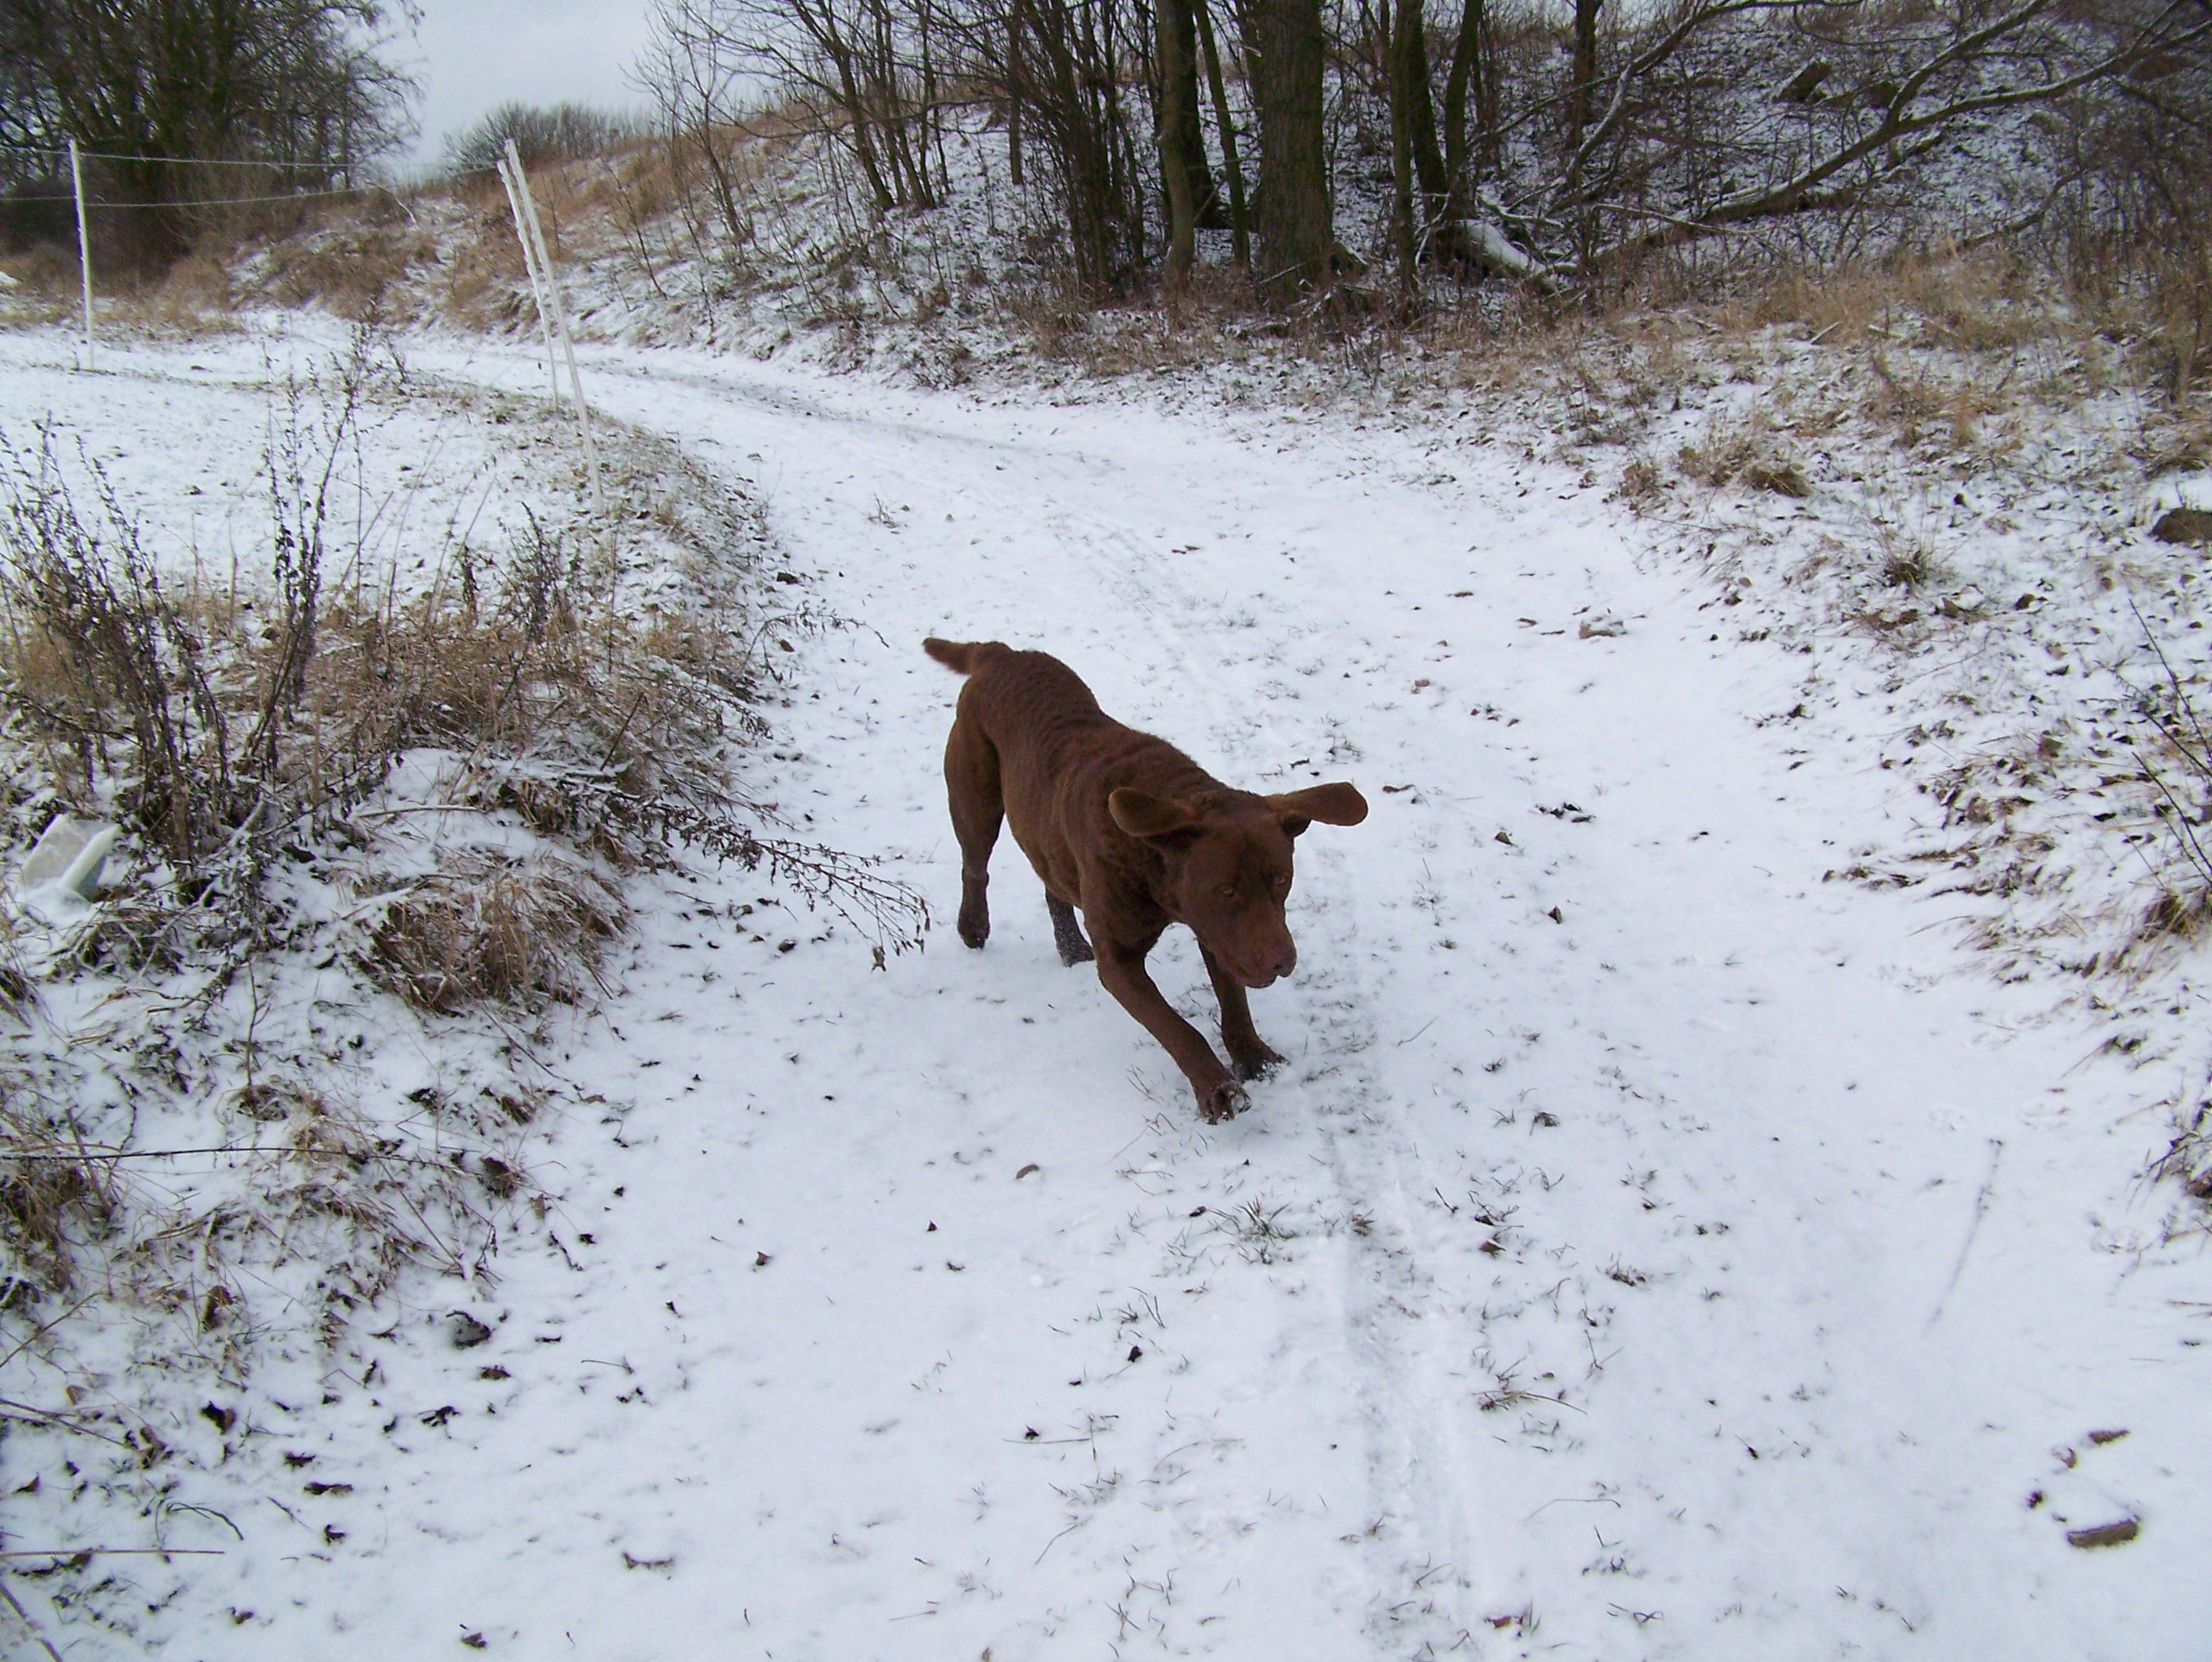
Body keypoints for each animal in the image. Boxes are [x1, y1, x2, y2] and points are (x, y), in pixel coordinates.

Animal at [920, 633, 1362, 1119]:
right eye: (1226, 889)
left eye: (1282, 879)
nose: (1282, 962)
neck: (1151, 854)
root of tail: (997, 652)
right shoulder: (1122, 959)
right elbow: (1176, 1027)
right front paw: (1218, 1088)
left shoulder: (1218, 933)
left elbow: (1234, 1002)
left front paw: (1254, 1059)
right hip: (975, 796)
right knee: (974, 866)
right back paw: (974, 926)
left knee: (1052, 882)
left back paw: (1071, 946)